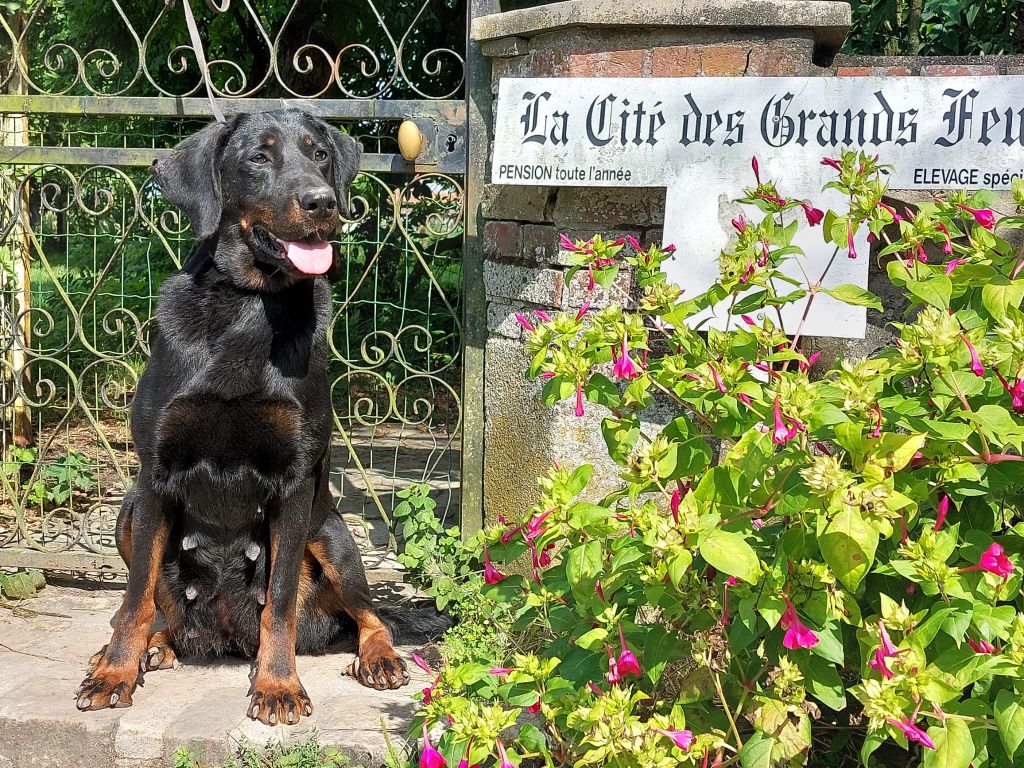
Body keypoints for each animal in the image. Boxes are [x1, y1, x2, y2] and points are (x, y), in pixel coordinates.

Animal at [76, 109, 415, 729]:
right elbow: (135, 598)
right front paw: (114, 672)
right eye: (259, 156)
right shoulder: (154, 477)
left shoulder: (295, 484)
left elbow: (277, 602)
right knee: (155, 609)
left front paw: (277, 685)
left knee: (369, 614)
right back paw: (150, 647)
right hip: (127, 513)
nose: (322, 202)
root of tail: (225, 637)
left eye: (320, 154)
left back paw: (378, 657)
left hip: (331, 533)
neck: (248, 308)